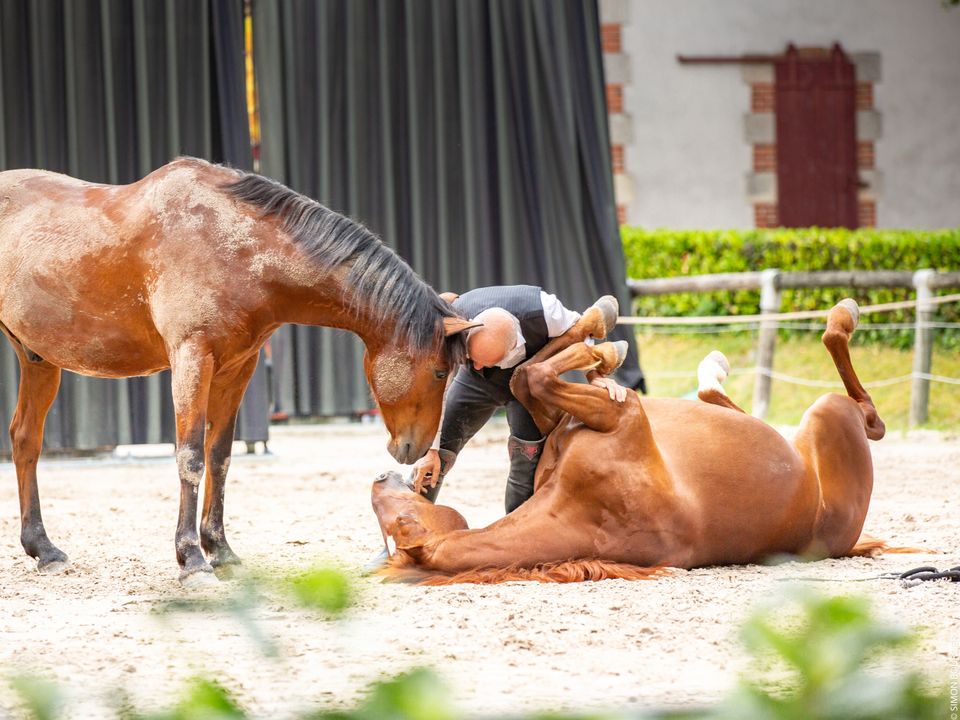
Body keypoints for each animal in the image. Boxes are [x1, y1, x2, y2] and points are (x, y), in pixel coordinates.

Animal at [0, 158, 472, 584]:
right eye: (438, 371)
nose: (415, 450)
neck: (233, 246)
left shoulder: (236, 368)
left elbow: (220, 456)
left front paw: (221, 551)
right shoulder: (191, 358)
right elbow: (190, 456)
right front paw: (192, 559)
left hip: (38, 361)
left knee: (25, 440)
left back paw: (43, 549)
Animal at [374, 298, 892, 584]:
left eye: (398, 513)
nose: (380, 478)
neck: (582, 510)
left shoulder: (574, 419)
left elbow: (528, 376)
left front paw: (597, 344)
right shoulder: (620, 414)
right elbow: (531, 375)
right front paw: (598, 348)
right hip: (830, 414)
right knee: (868, 412)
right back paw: (839, 318)